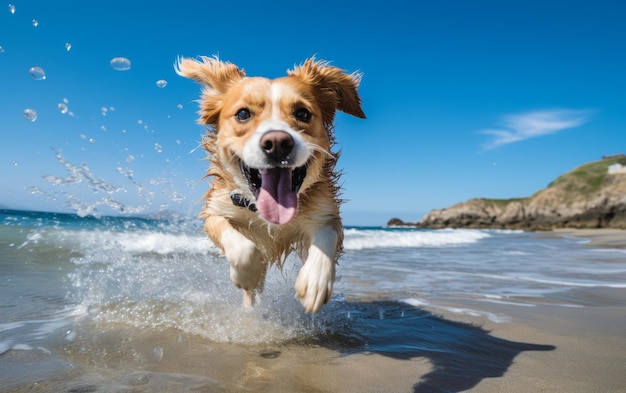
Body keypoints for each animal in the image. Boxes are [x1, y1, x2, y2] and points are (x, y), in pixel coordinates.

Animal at [173, 56, 364, 312]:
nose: (277, 143)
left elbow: (326, 235)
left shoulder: (327, 213)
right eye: (243, 114)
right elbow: (241, 246)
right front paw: (248, 274)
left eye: (302, 113)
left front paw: (315, 280)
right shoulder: (217, 209)